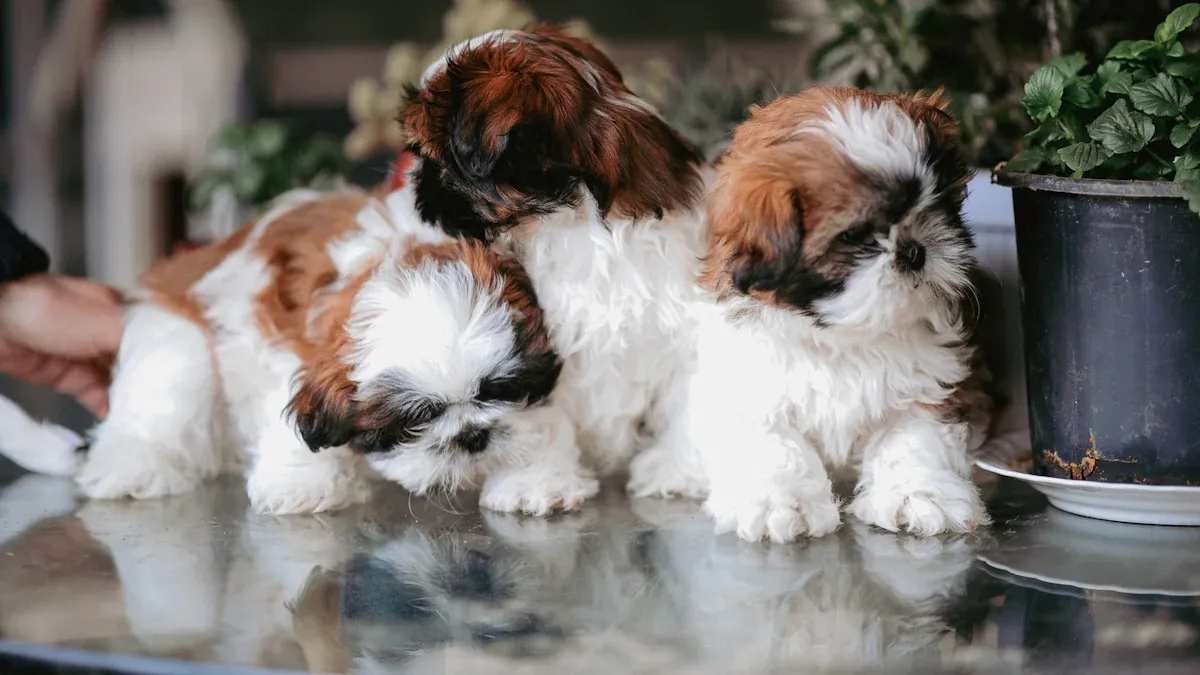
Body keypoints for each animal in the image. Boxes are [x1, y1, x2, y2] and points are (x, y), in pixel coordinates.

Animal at [2, 181, 564, 511]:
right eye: (414, 421)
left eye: (503, 389)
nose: (472, 436)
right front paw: (302, 480)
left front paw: (537, 472)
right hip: (175, 334)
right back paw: (135, 464)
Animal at [398, 26, 710, 506]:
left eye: (433, 160)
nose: (417, 187)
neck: (578, 224)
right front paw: (538, 482)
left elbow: (686, 399)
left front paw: (676, 470)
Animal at [686, 88, 993, 540]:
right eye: (854, 235)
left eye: (942, 207)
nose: (915, 250)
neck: (843, 335)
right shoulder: (750, 386)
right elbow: (773, 443)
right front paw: (780, 502)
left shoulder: (931, 382)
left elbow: (913, 437)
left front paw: (919, 494)